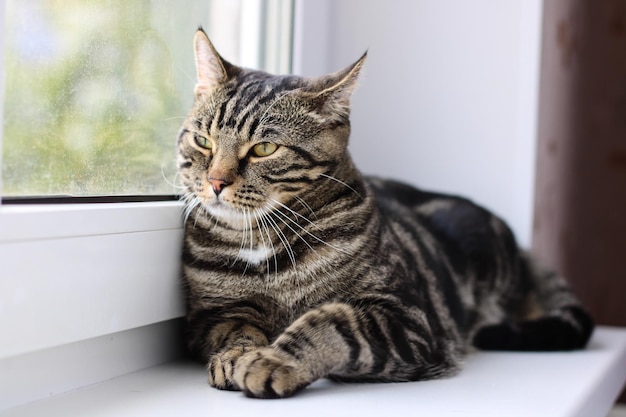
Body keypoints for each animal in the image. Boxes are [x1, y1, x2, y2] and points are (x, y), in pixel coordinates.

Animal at [176, 27, 588, 398]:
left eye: (264, 148)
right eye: (203, 141)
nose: (215, 182)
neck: (261, 243)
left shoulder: (407, 319)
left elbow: (331, 321)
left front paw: (274, 360)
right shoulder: (211, 315)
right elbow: (236, 329)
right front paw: (237, 355)